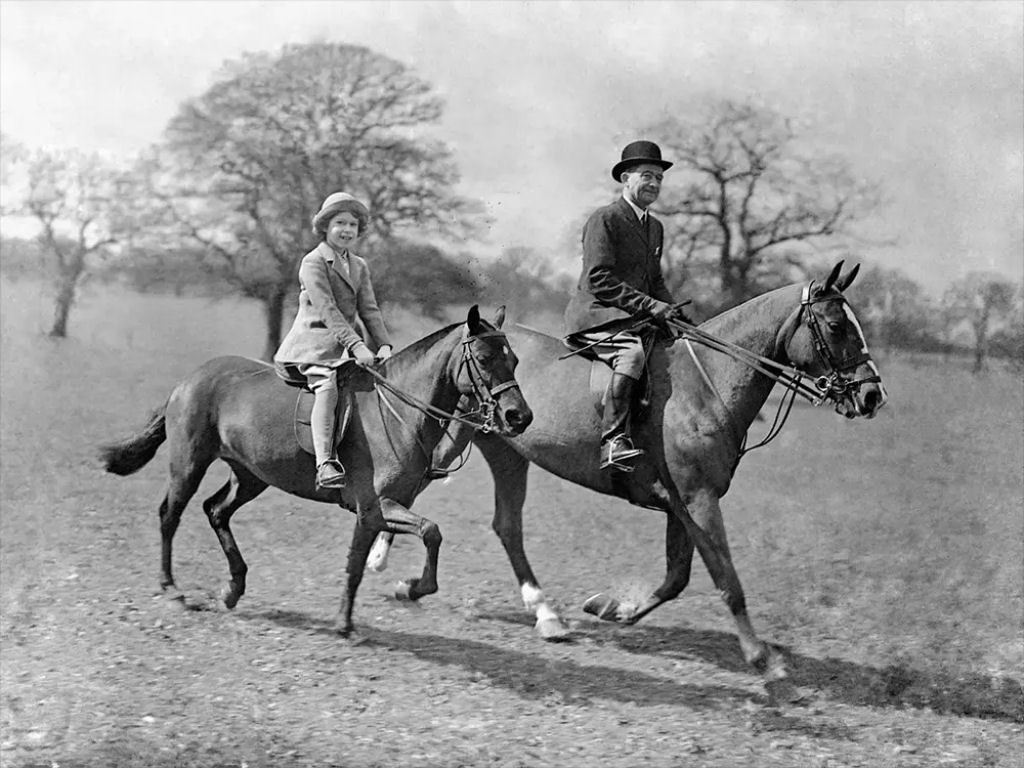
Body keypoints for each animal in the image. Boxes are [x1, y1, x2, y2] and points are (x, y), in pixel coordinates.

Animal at [98, 305, 532, 638]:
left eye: (514, 360)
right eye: (484, 359)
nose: (519, 417)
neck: (399, 412)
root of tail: (188, 380)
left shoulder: (385, 509)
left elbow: (399, 546)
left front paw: (397, 595)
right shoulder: (374, 507)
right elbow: (406, 542)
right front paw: (381, 603)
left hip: (251, 476)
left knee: (216, 511)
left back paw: (232, 589)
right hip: (189, 463)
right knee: (170, 515)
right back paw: (172, 589)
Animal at [366, 264, 888, 679]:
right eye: (837, 325)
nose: (872, 396)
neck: (706, 385)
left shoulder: (683, 505)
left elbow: (677, 578)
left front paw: (614, 609)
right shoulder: (699, 499)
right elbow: (726, 578)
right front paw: (762, 657)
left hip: (506, 452)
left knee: (503, 524)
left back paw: (542, 613)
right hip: (461, 437)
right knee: (420, 486)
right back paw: (386, 560)